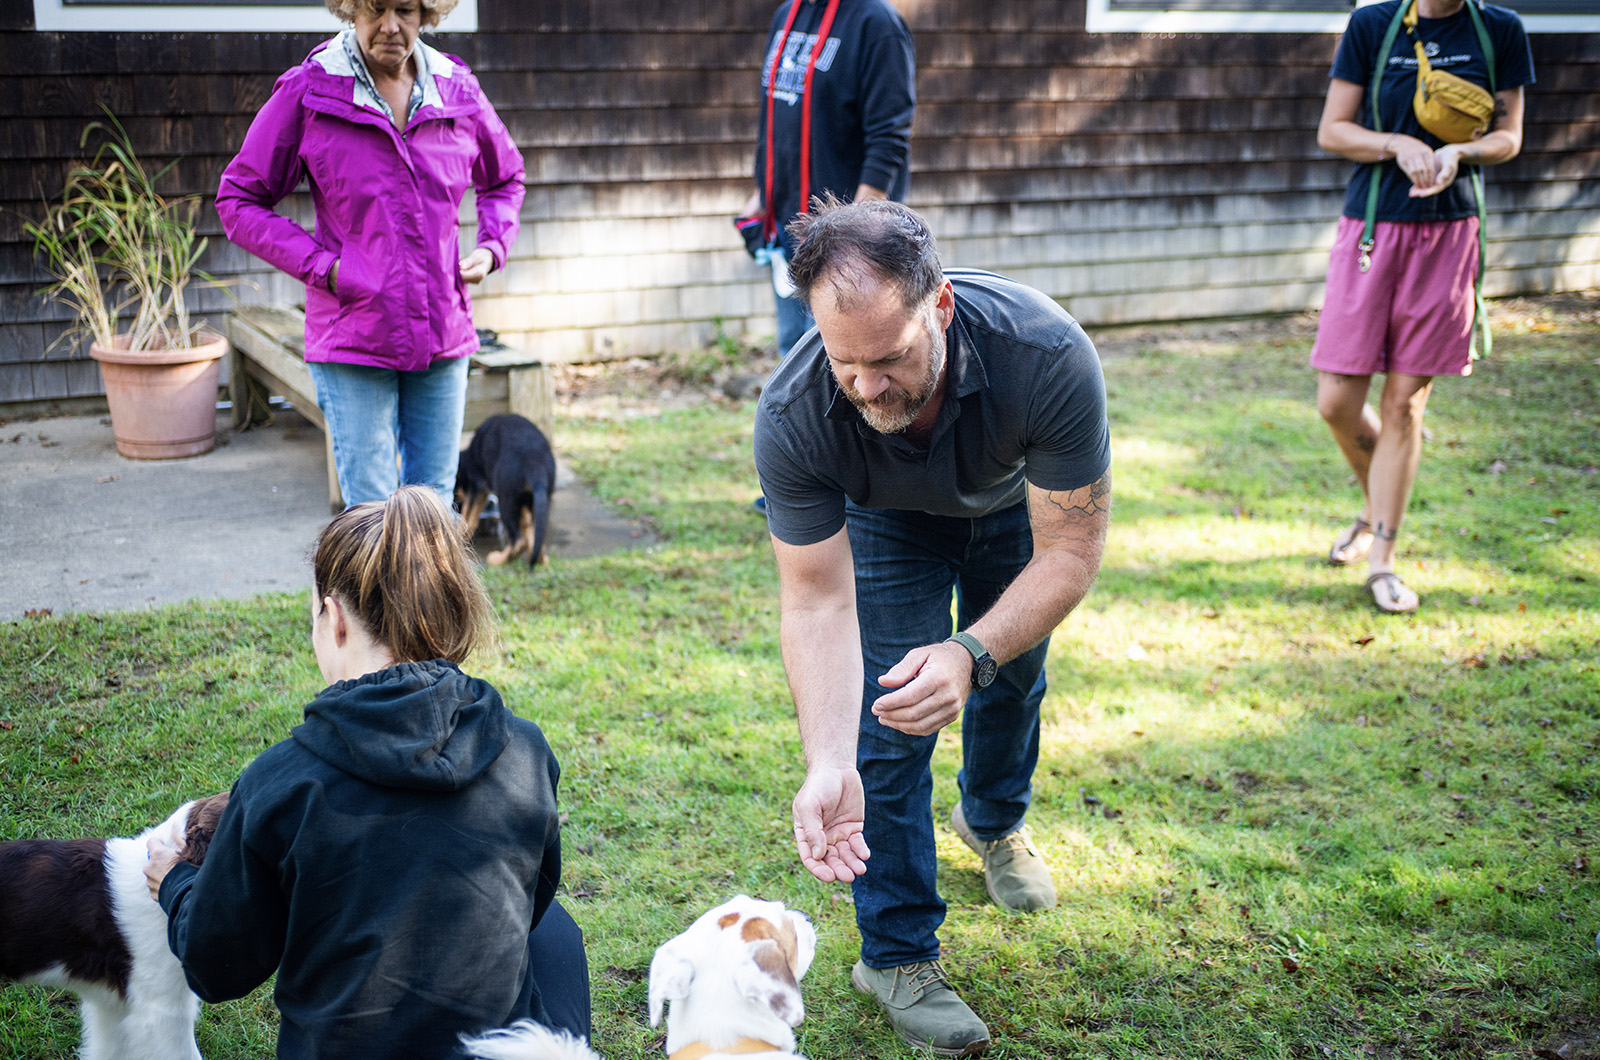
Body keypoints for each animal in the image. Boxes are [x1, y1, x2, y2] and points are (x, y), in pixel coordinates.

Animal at [457, 413, 556, 570]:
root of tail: (534, 463)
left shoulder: (477, 485)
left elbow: (469, 515)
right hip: (537, 498)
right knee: (535, 539)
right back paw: (538, 560)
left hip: (505, 500)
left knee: (519, 540)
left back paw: (499, 559)